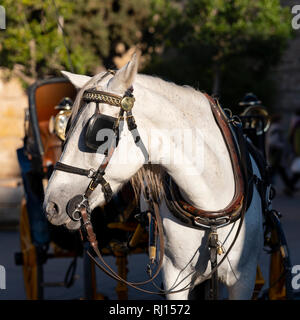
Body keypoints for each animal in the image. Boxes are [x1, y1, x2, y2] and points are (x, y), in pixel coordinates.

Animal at [44, 53, 262, 300]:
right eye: (67, 129)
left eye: (98, 134)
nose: (52, 205)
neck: (209, 209)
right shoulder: (175, 277)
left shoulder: (243, 278)